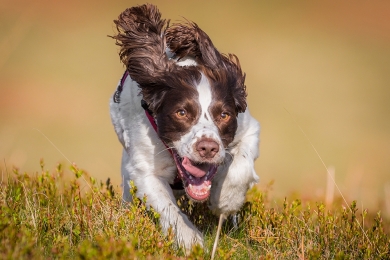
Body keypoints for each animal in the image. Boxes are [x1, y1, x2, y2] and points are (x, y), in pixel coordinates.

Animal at [109, 4, 260, 251]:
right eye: (181, 113)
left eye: (224, 115)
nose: (207, 148)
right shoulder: (144, 169)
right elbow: (168, 208)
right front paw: (191, 242)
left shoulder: (249, 128)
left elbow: (241, 166)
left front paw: (226, 200)